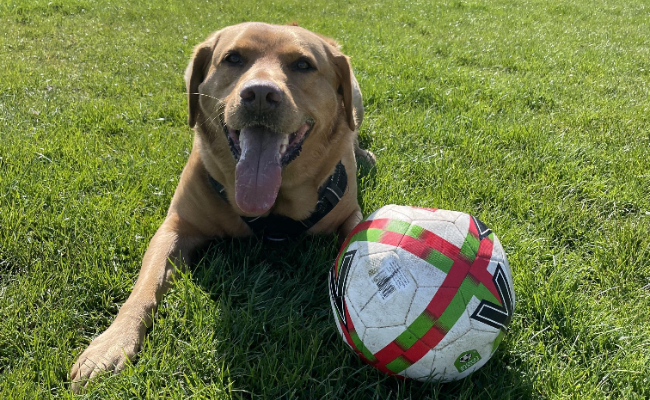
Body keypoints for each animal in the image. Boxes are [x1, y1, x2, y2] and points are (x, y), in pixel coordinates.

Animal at [68, 21, 372, 390]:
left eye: (303, 65)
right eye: (233, 58)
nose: (260, 94)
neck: (272, 206)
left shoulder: (350, 214)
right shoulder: (176, 227)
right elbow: (145, 286)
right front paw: (111, 344)